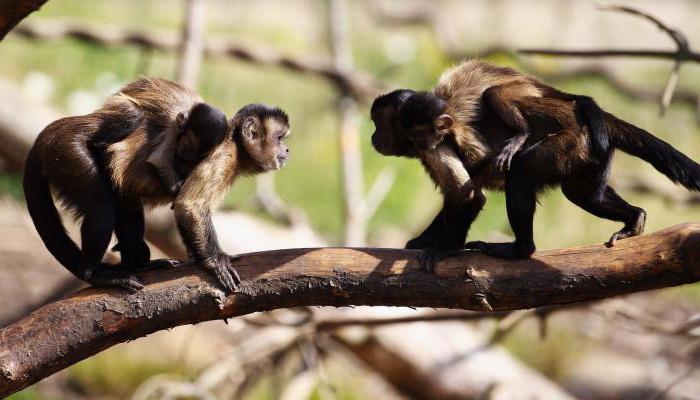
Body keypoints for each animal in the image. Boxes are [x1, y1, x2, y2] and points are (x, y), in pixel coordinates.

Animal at [22, 77, 290, 290]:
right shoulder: (223, 156)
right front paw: (215, 261)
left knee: (125, 205)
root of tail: (51, 132)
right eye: (279, 138)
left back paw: (139, 265)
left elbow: (180, 209)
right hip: (69, 152)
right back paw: (94, 274)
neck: (235, 141)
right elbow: (189, 206)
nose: (287, 150)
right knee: (101, 209)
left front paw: (198, 258)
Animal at [370, 59, 700, 272]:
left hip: (572, 141)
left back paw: (520, 249)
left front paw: (446, 248)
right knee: (585, 195)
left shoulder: (434, 146)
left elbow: (468, 195)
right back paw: (634, 218)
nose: (373, 136)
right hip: (590, 151)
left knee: (522, 171)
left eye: (378, 124)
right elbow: (464, 193)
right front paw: (423, 240)